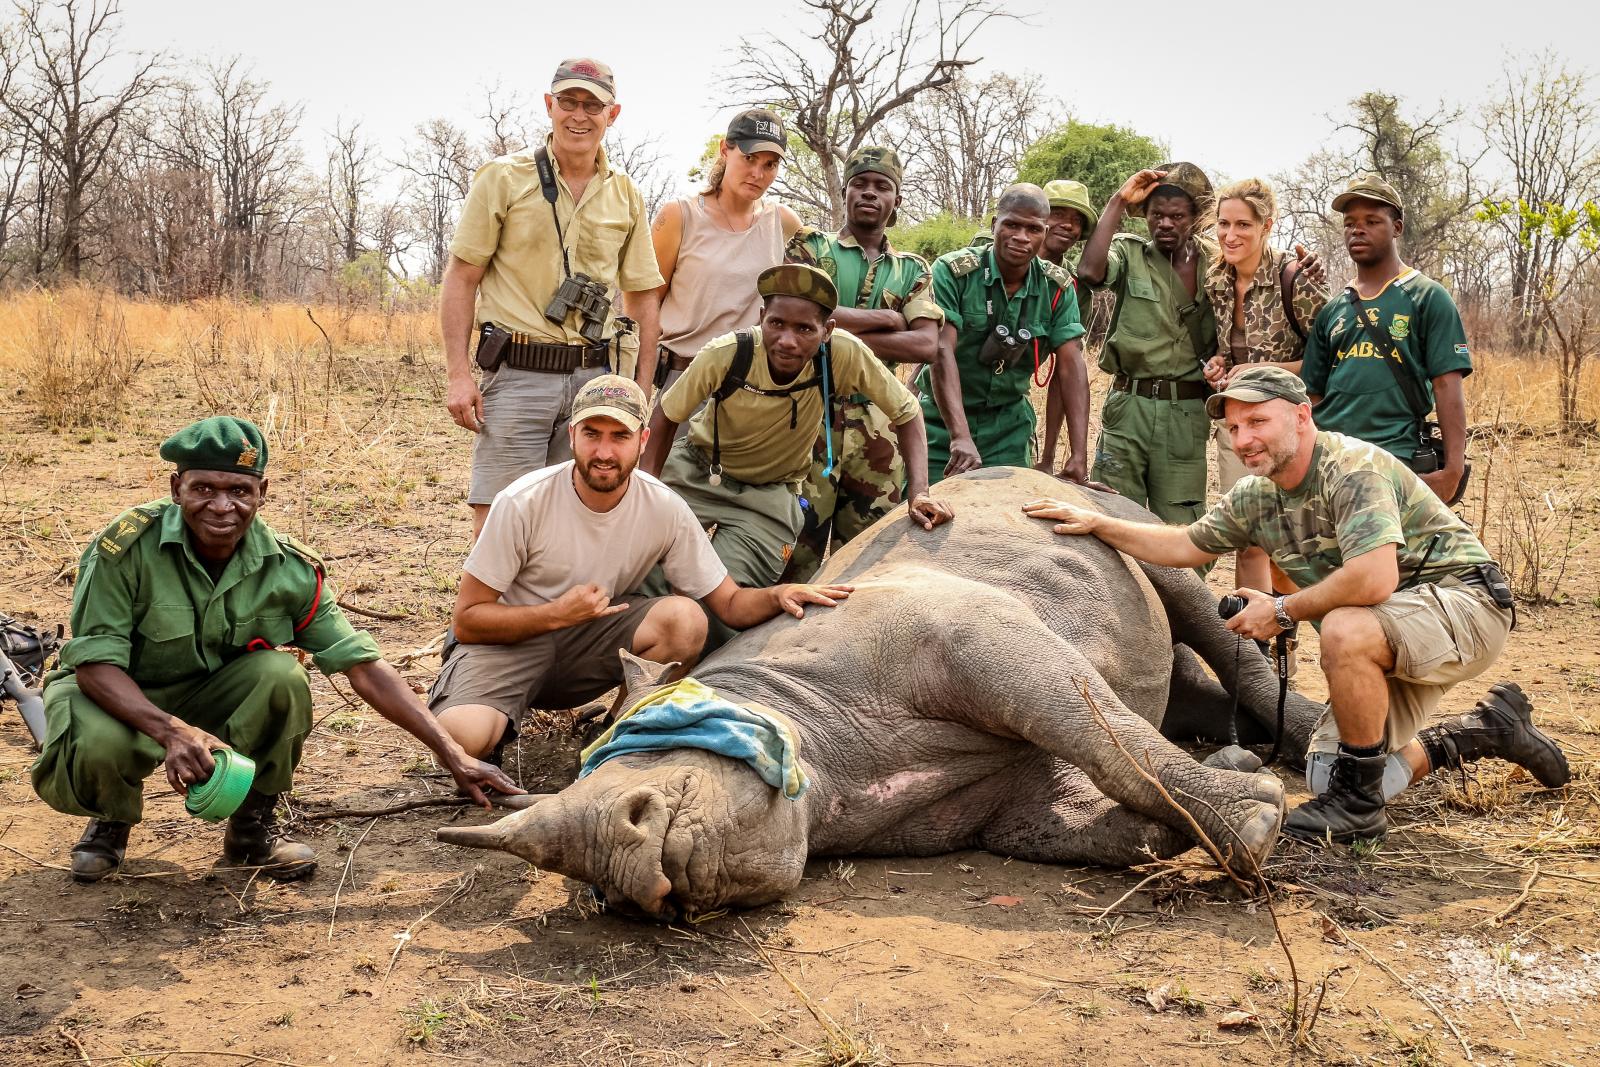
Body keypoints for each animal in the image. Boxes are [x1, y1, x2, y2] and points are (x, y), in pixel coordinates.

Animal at [441, 470, 1324, 921]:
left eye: (655, 785)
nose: (626, 873)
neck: (814, 741)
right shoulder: (1009, 804)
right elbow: (1086, 815)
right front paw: (1218, 801)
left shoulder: (972, 631)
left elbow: (1090, 727)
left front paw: (1256, 819)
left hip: (1098, 505)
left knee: (1179, 579)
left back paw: (1309, 747)